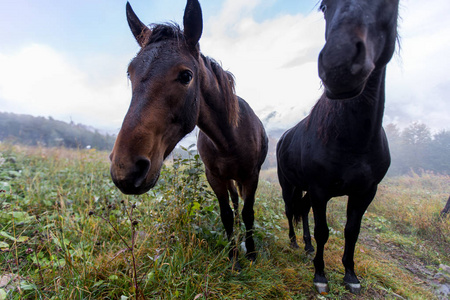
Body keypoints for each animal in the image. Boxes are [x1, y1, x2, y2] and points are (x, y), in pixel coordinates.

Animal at [110, 0, 268, 268]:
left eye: (186, 75)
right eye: (130, 73)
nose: (126, 170)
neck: (230, 140)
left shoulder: (252, 175)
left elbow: (249, 213)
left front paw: (252, 254)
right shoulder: (215, 177)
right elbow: (227, 214)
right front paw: (233, 256)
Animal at [276, 0, 400, 294]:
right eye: (324, 6)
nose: (338, 65)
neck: (354, 141)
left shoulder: (365, 192)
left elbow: (351, 231)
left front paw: (350, 275)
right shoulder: (320, 189)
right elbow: (323, 231)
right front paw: (320, 275)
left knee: (303, 209)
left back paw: (307, 246)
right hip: (290, 184)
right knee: (290, 209)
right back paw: (295, 242)